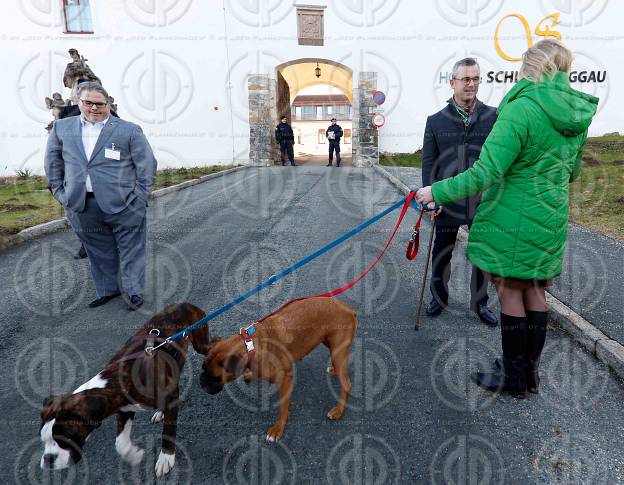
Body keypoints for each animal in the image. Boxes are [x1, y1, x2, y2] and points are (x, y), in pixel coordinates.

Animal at [39, 302, 210, 476]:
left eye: (65, 439)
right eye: (43, 440)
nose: (48, 459)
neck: (112, 381)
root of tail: (182, 304)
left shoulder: (167, 398)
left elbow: (168, 431)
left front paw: (165, 458)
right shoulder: (123, 408)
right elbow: (120, 442)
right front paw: (134, 455)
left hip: (201, 342)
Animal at [200, 296, 356, 440]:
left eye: (215, 377)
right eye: (203, 368)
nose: (202, 383)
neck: (250, 346)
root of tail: (349, 308)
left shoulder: (286, 380)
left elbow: (283, 408)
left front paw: (278, 428)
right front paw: (251, 375)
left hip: (338, 350)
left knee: (347, 384)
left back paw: (338, 410)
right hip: (330, 345)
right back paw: (334, 370)